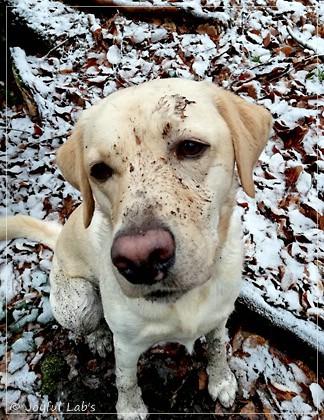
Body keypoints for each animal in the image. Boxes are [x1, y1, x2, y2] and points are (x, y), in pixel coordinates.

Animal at [1, 78, 272, 416]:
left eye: (191, 147)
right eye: (99, 170)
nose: (141, 258)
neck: (185, 302)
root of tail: (60, 235)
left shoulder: (219, 316)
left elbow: (217, 349)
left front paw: (221, 380)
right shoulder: (127, 345)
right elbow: (126, 381)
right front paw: (130, 409)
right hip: (77, 302)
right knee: (89, 323)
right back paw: (98, 337)